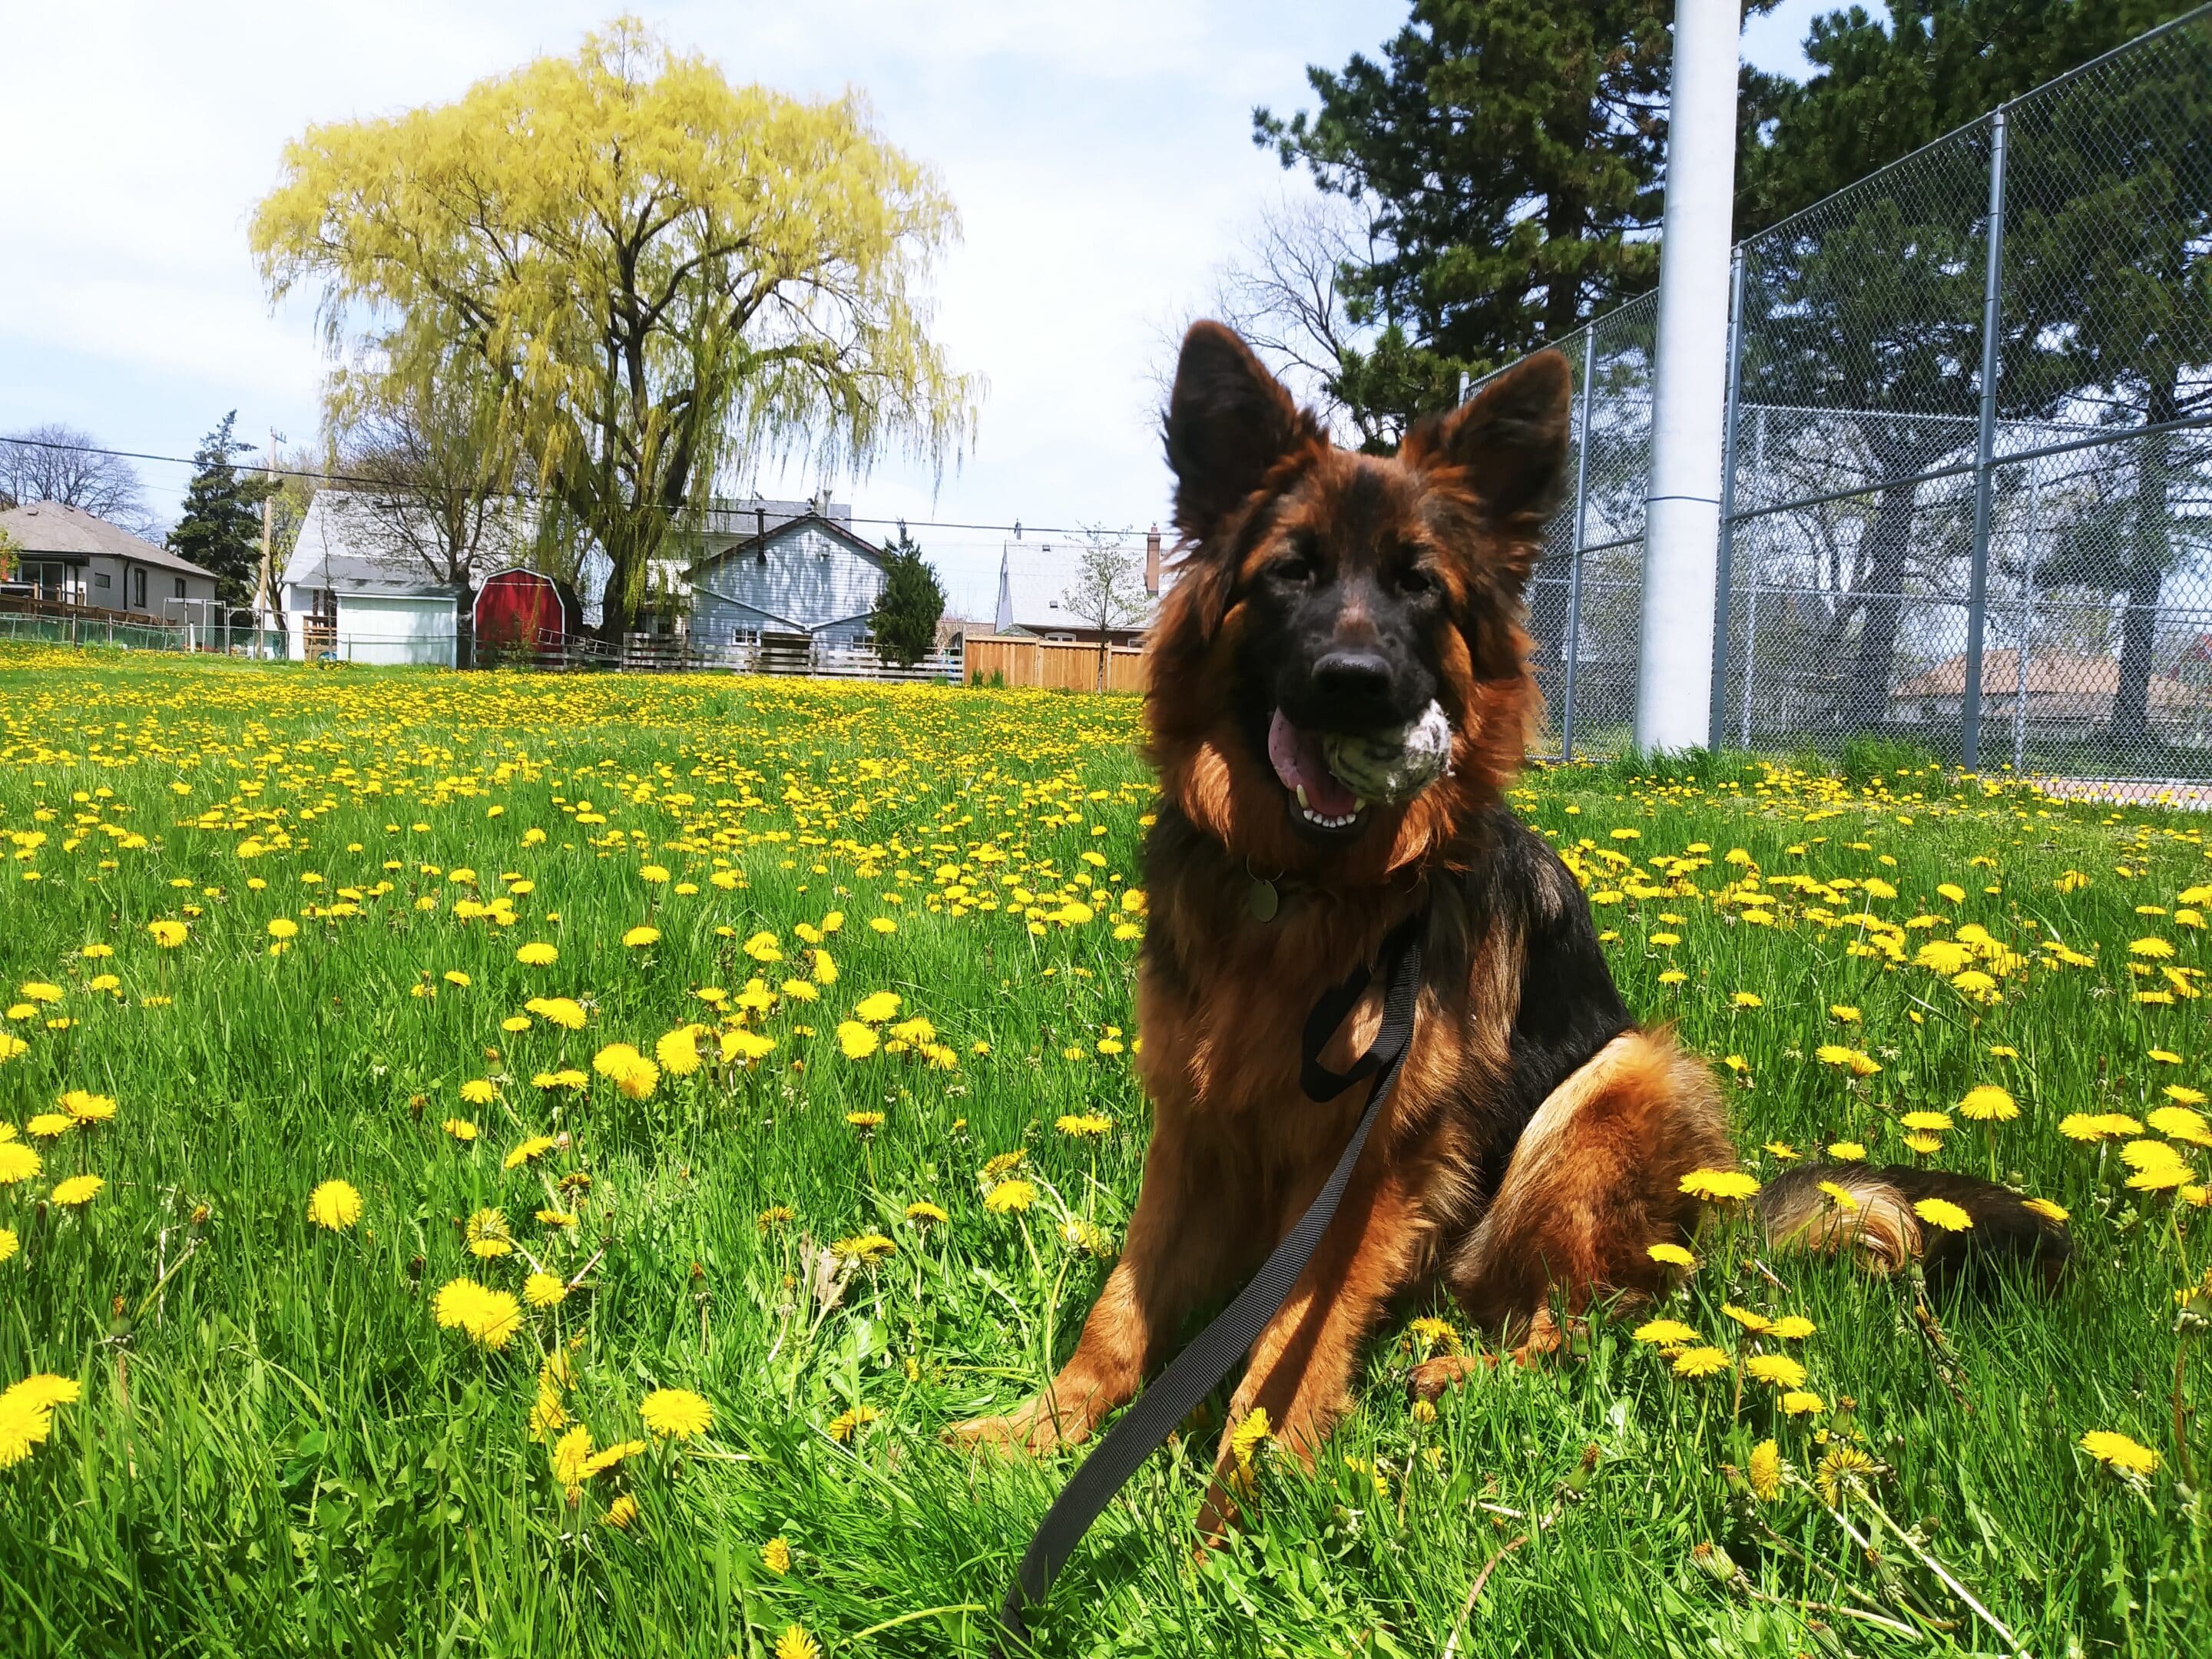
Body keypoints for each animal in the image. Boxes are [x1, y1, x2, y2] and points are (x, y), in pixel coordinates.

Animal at [955, 320, 2070, 1522]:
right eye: (1292, 572)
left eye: (1419, 588)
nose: (1356, 682)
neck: (1309, 888)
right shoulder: (1196, 1125)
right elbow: (1122, 1306)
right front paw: (1041, 1431)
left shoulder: (1375, 1165)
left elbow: (1288, 1347)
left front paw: (1237, 1507)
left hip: (1613, 1083)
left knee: (1591, 1321)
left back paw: (1458, 1373)